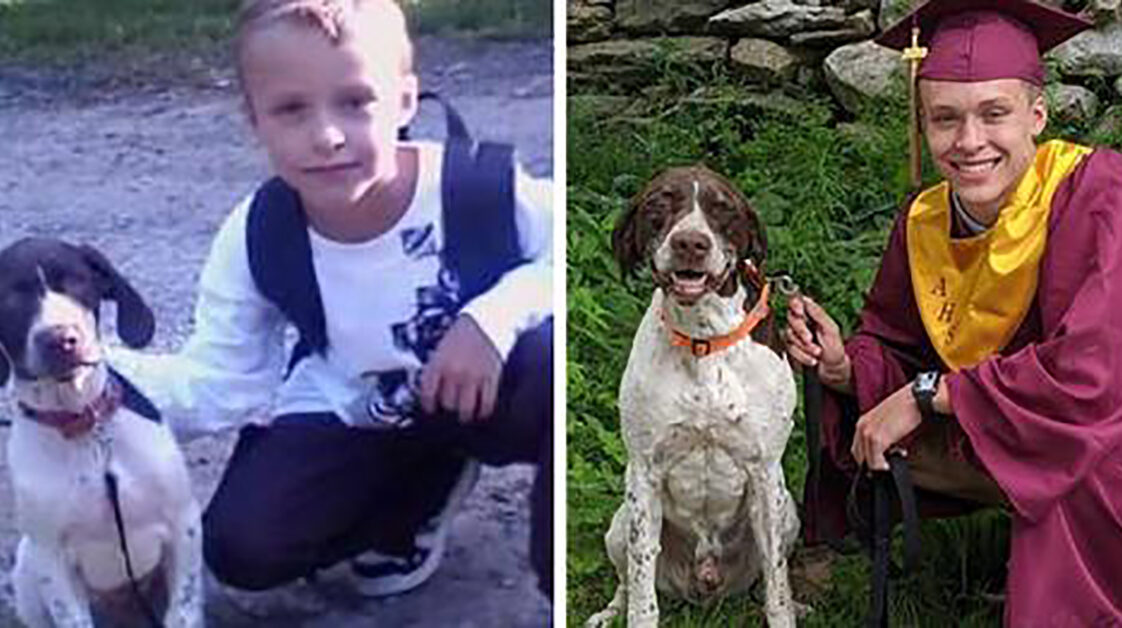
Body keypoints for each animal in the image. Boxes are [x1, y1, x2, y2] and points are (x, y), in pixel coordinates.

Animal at [0, 236, 204, 628]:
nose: (61, 339)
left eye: (77, 281)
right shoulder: (51, 558)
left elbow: (183, 612)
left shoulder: (184, 523)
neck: (85, 427)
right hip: (27, 567)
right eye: (11, 296)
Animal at [587, 167, 798, 628]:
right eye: (659, 203)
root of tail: (706, 583)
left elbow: (778, 588)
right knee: (626, 581)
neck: (704, 338)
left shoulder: (765, 472)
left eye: (722, 208)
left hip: (789, 510)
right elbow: (642, 590)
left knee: (767, 580)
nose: (690, 243)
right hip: (619, 523)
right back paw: (609, 612)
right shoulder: (644, 474)